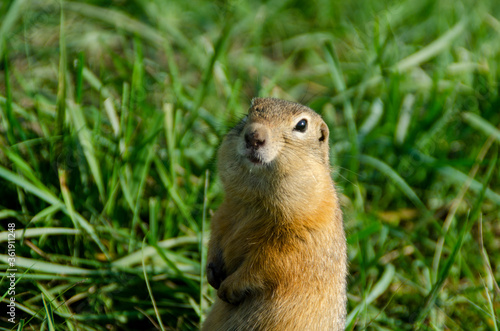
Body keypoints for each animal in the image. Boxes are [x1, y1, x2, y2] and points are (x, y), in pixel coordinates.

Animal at [201, 97, 346, 330]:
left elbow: (268, 264)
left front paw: (229, 287)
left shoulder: (297, 239)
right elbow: (216, 231)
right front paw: (211, 270)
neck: (255, 203)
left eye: (302, 125)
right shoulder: (225, 211)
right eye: (250, 110)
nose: (254, 135)